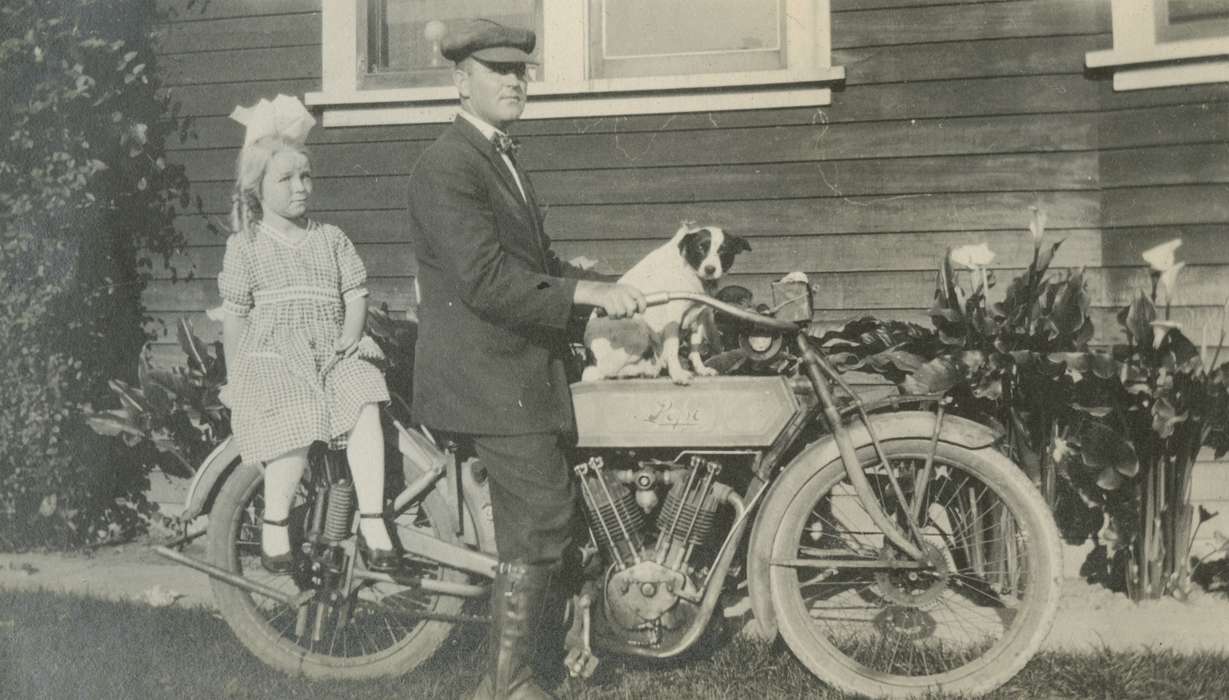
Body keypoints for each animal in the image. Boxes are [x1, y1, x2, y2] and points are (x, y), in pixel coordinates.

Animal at [582, 223, 747, 383]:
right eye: (701, 247)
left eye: (723, 250)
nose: (710, 269)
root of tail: (590, 358)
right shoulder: (673, 319)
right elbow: (673, 349)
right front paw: (678, 375)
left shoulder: (699, 317)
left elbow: (695, 349)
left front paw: (701, 370)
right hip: (639, 329)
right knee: (604, 373)